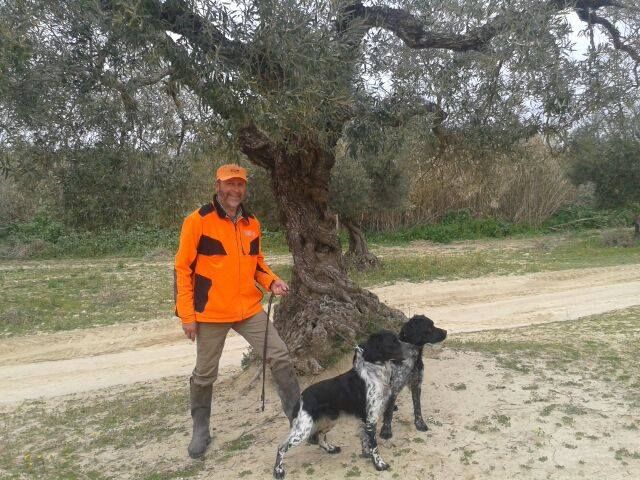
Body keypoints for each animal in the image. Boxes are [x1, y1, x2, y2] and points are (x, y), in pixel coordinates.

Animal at [272, 330, 408, 480]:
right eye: (393, 341)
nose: (411, 348)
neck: (375, 373)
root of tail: (301, 397)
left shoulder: (364, 420)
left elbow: (365, 440)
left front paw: (366, 454)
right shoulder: (371, 419)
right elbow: (374, 446)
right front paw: (379, 464)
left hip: (329, 421)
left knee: (319, 436)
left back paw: (331, 449)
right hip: (303, 429)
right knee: (281, 447)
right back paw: (278, 471)